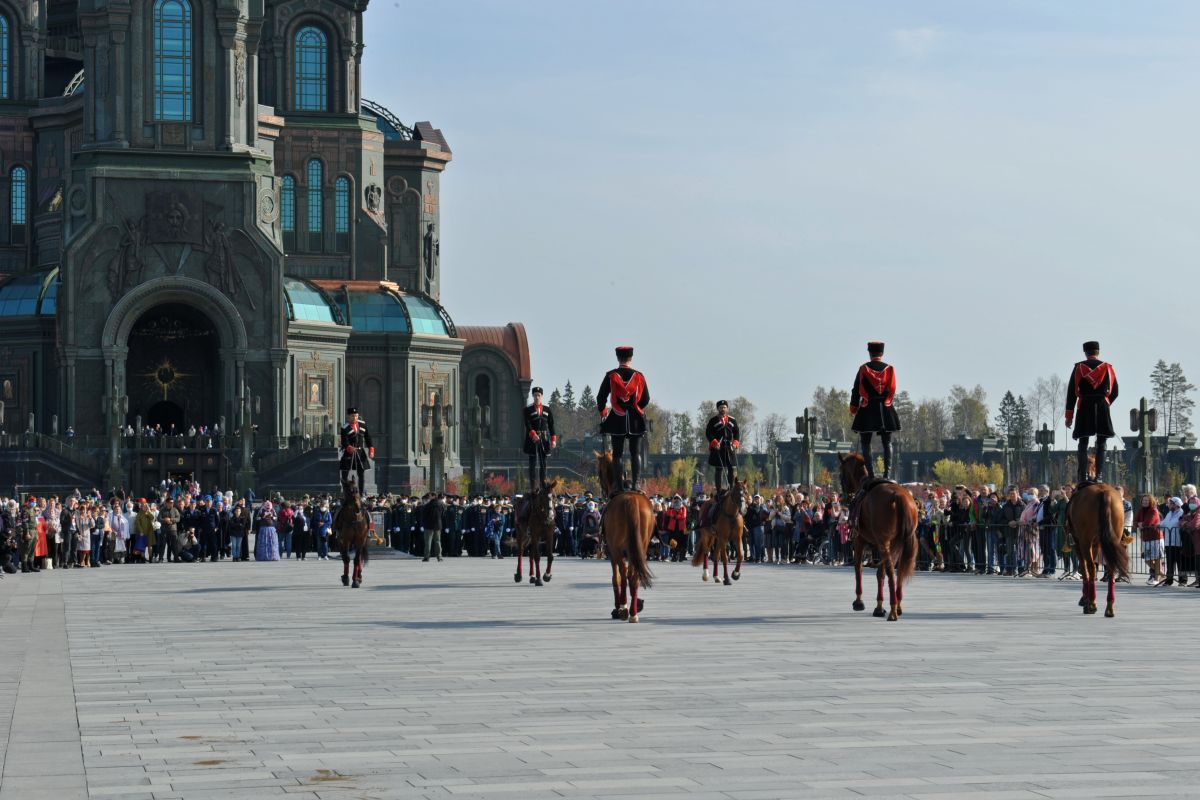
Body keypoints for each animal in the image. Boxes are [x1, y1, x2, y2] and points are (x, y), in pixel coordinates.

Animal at [592, 453, 652, 623]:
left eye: (599, 471)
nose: (603, 492)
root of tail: (631, 499)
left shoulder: (611, 552)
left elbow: (616, 578)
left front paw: (618, 607)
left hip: (616, 549)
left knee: (624, 575)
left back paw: (624, 608)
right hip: (640, 546)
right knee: (634, 576)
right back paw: (633, 612)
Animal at [835, 453, 916, 623]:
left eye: (841, 474)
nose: (843, 497)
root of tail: (898, 495)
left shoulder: (859, 540)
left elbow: (858, 567)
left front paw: (859, 601)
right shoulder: (879, 545)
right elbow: (880, 573)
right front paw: (879, 606)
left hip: (884, 542)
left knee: (891, 570)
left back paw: (893, 609)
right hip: (900, 542)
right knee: (899, 569)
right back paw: (897, 605)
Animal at [1065, 482, 1128, 618]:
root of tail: (1104, 492)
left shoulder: (1078, 543)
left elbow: (1084, 568)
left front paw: (1085, 598)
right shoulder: (1096, 544)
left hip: (1084, 541)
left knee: (1091, 568)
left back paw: (1091, 605)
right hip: (1113, 539)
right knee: (1111, 568)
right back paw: (1109, 607)